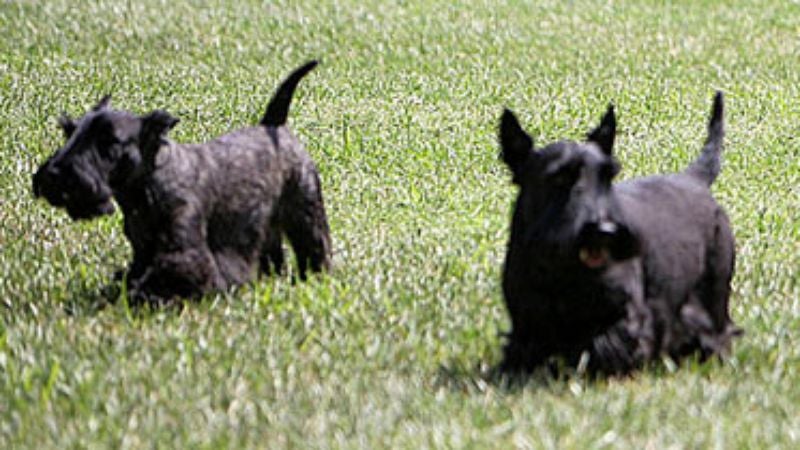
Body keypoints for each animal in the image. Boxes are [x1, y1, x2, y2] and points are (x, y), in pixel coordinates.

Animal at [32, 59, 332, 304]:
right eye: (69, 131)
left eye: (110, 142)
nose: (54, 175)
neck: (147, 187)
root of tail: (274, 124)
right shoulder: (143, 251)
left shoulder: (184, 251)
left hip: (305, 208)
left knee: (315, 243)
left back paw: (316, 277)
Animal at [496, 93, 740, 374]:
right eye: (558, 178)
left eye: (608, 175)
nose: (605, 230)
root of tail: (693, 180)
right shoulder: (527, 323)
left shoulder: (624, 316)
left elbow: (606, 345)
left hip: (715, 291)